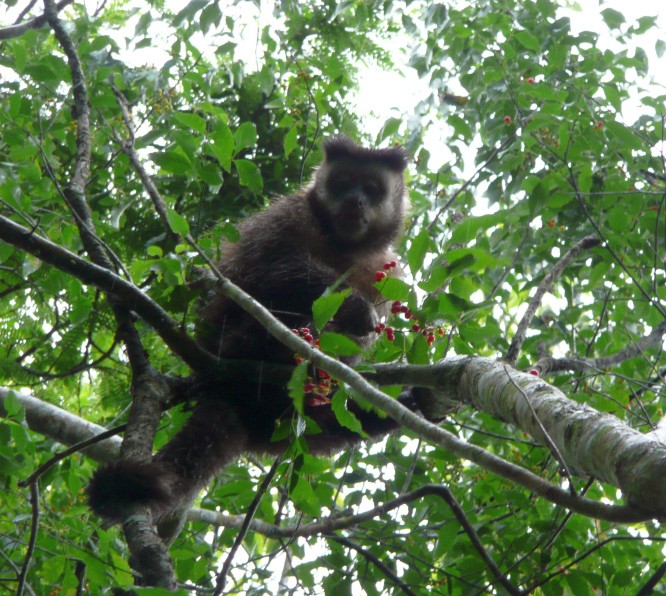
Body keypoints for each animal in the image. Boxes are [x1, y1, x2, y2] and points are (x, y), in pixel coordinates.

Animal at [87, 136, 418, 544]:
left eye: (371, 189)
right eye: (343, 183)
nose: (355, 200)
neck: (343, 245)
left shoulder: (384, 270)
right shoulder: (288, 214)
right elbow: (266, 272)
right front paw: (354, 308)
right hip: (231, 343)